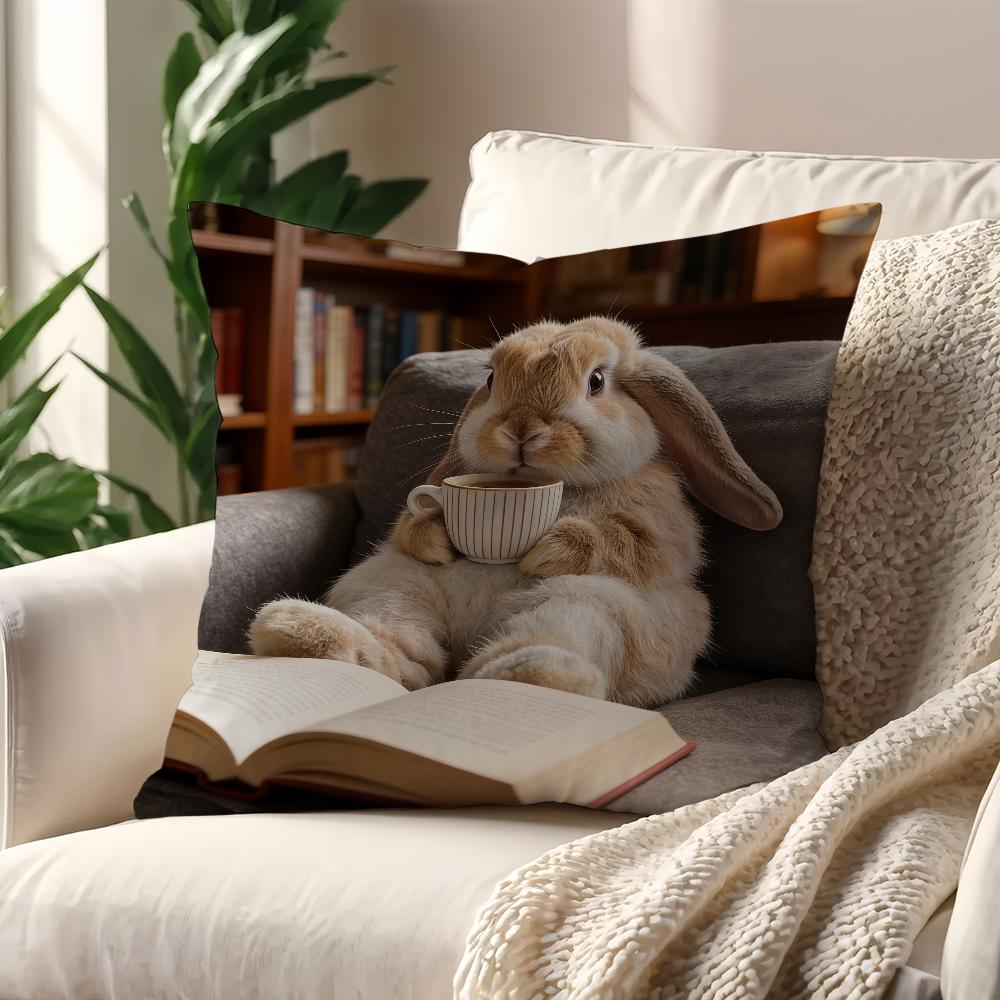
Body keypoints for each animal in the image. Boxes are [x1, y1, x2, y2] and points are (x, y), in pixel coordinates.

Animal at [250, 316, 782, 706]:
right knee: (407, 648)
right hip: (391, 583)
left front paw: (547, 550)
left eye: (596, 381)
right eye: (490, 379)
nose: (521, 429)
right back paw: (304, 633)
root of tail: (471, 637)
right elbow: (413, 524)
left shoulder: (660, 514)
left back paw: (526, 674)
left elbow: (639, 543)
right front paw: (437, 540)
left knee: (552, 630)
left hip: (593, 604)